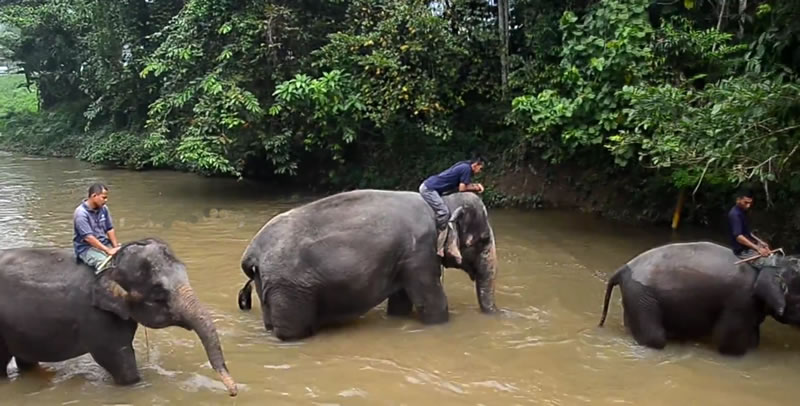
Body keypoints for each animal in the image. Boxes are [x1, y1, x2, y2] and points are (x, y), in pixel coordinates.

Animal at [0, 238, 238, 396]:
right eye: (158, 294)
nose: (233, 392)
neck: (113, 264)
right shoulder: (97, 317)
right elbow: (115, 357)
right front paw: (133, 383)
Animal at [234, 189, 496, 340]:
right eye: (483, 240)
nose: (497, 315)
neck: (444, 202)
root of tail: (251, 253)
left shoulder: (404, 257)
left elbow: (401, 302)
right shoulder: (421, 252)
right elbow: (431, 302)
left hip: (270, 284)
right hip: (290, 289)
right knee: (292, 333)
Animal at [600, 241, 800, 356]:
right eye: (799, 301)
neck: (766, 263)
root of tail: (624, 268)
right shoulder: (740, 300)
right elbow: (726, 341)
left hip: (635, 296)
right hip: (642, 295)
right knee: (655, 338)